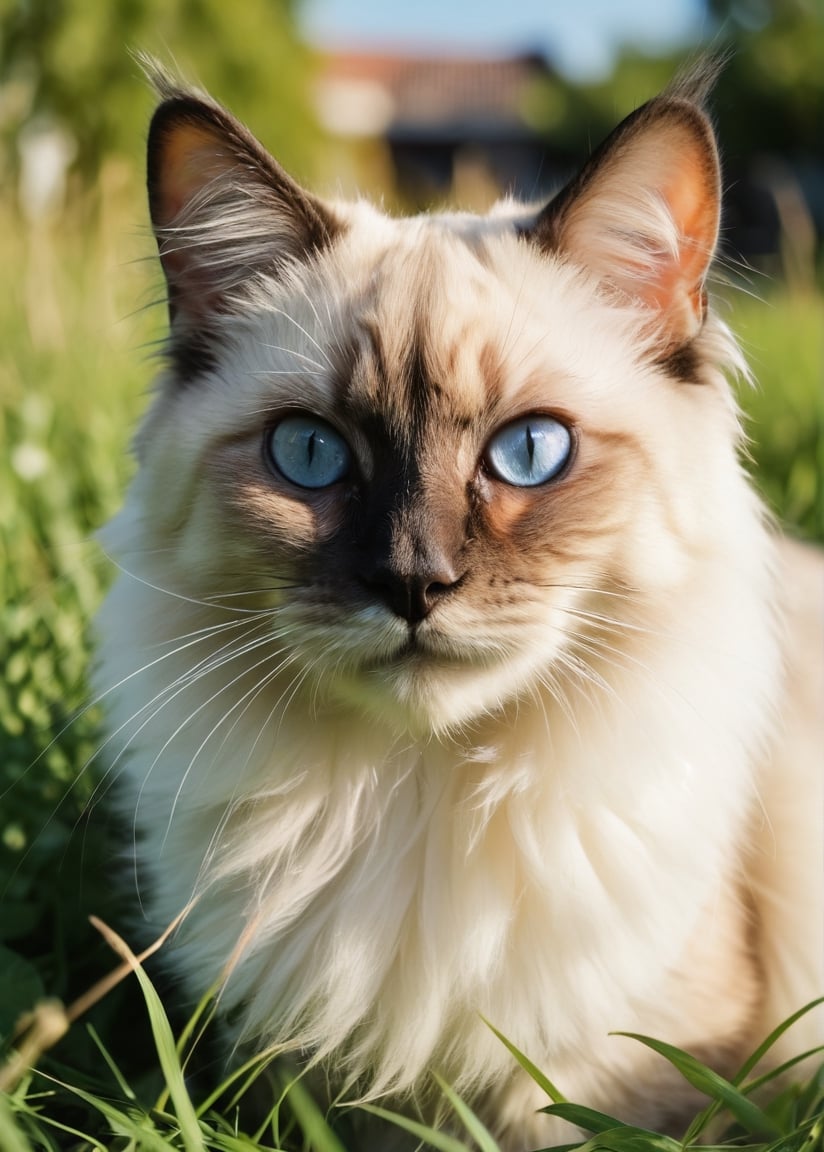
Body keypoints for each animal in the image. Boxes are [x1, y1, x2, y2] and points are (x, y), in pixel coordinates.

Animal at [91, 58, 824, 1147]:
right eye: (310, 454)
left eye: (530, 452)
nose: (413, 582)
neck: (411, 805)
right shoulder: (305, 1087)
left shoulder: (629, 1085)